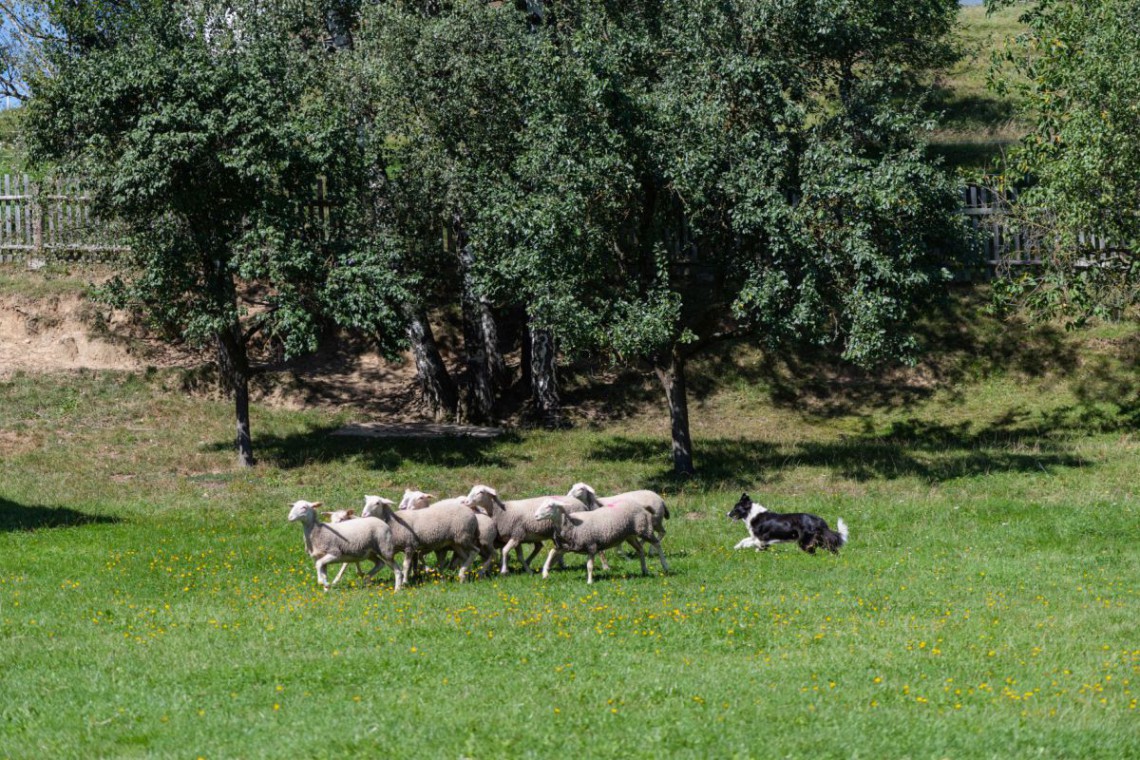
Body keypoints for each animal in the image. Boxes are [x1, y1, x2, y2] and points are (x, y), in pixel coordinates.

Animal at [531, 496, 665, 587]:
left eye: (550, 506)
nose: (536, 516)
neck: (572, 525)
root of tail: (641, 506)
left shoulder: (591, 545)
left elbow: (589, 566)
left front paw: (590, 581)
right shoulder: (564, 546)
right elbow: (551, 553)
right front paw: (545, 573)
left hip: (644, 529)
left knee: (657, 544)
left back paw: (665, 566)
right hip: (630, 535)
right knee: (640, 549)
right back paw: (644, 569)